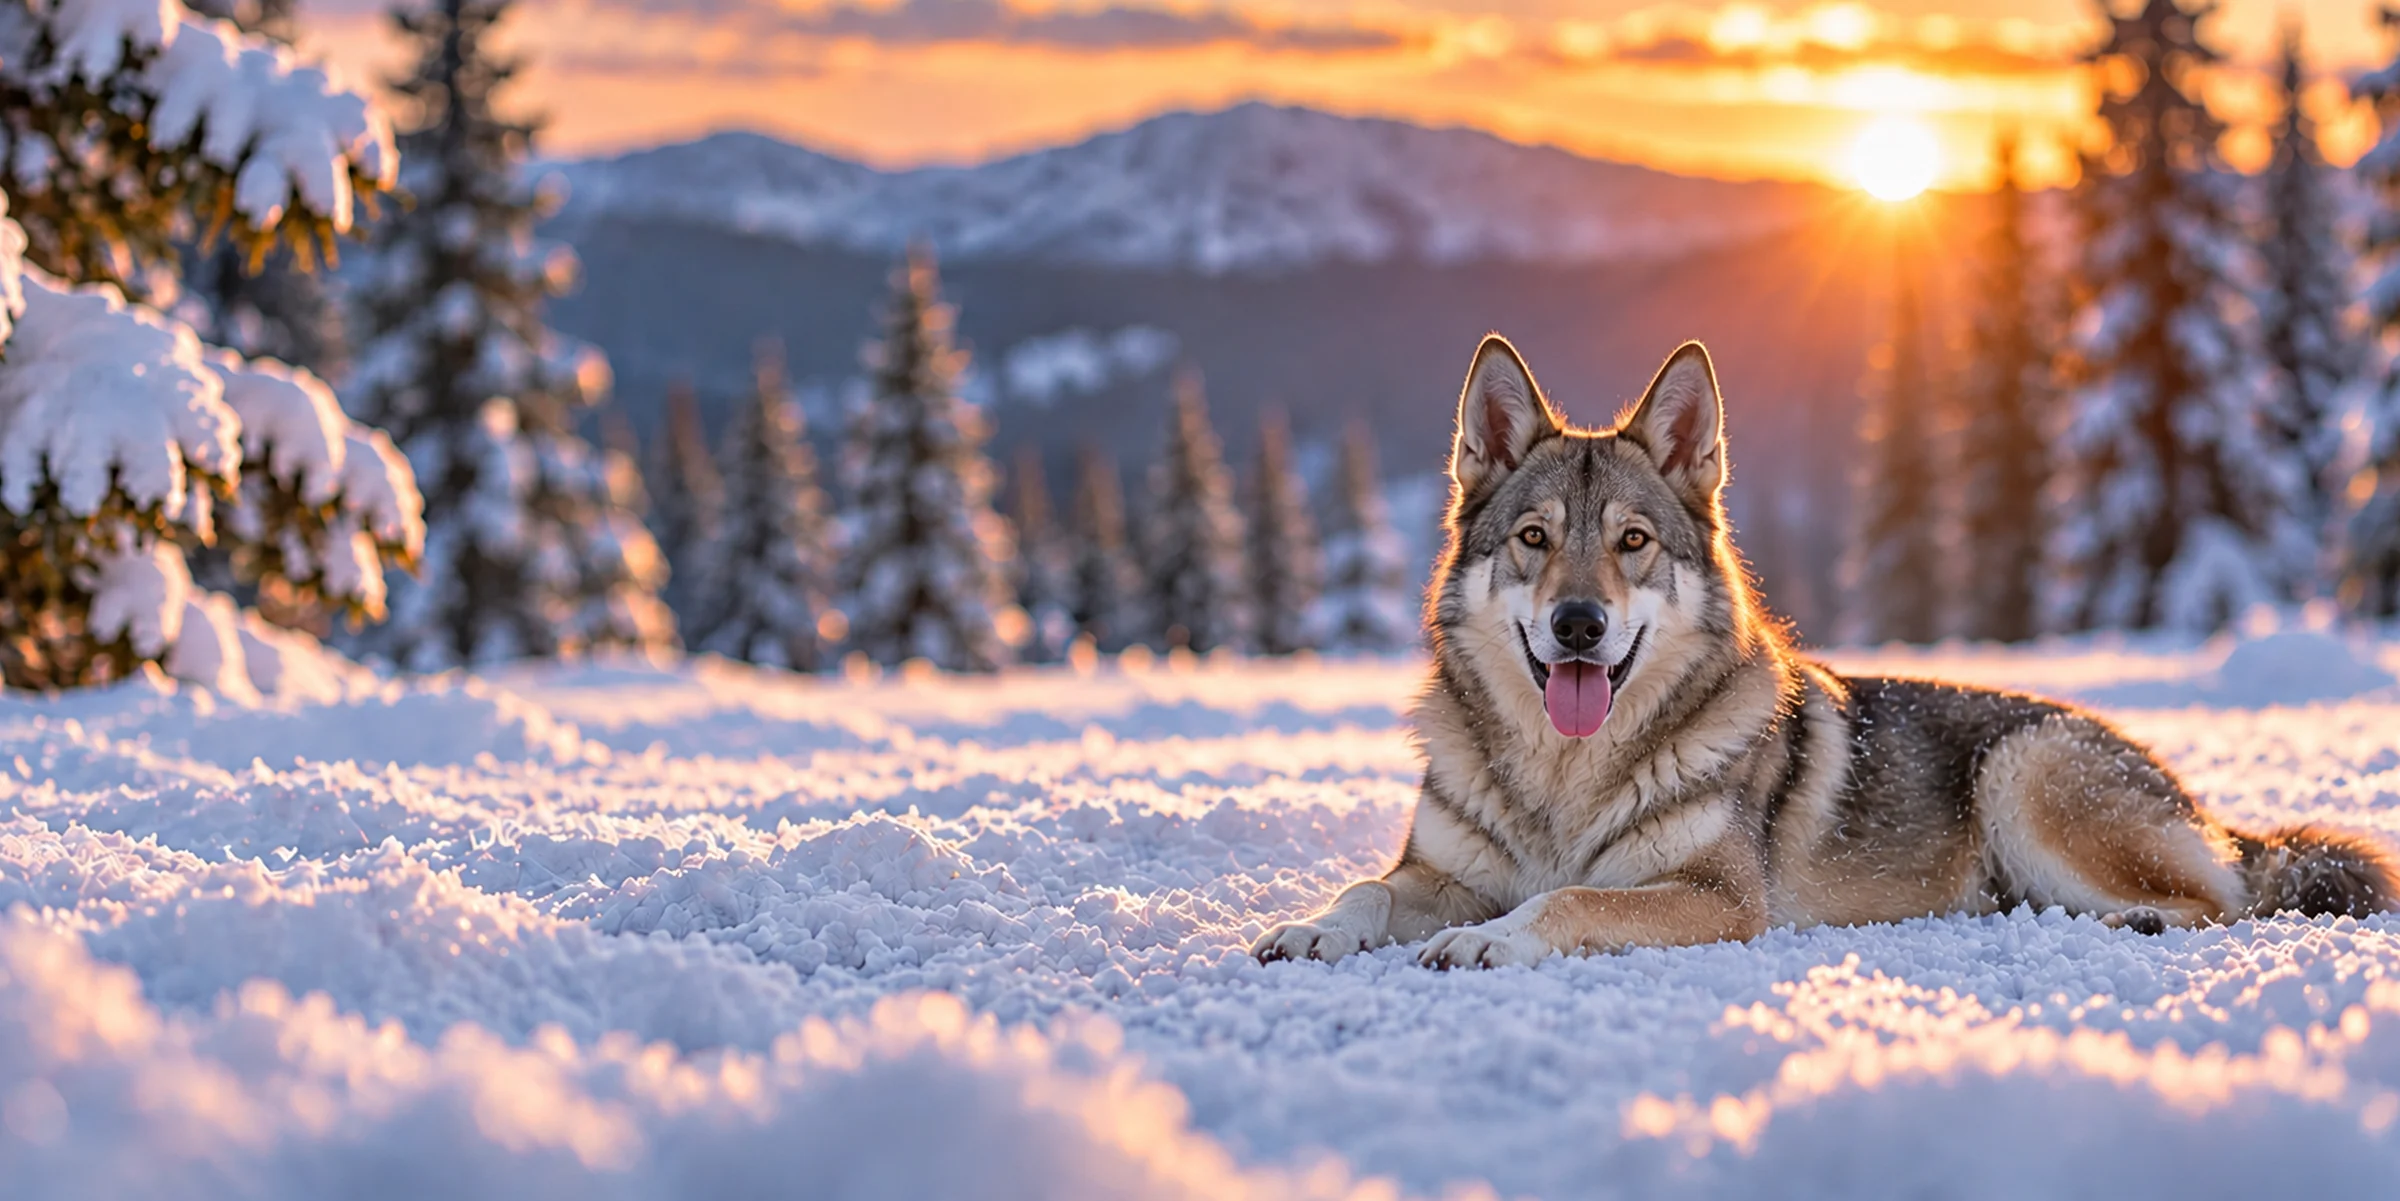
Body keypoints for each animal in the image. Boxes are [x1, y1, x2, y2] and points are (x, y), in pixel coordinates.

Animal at [1254, 336, 2400, 970]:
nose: (1579, 623)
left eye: (1633, 542)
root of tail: (2196, 799)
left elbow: (1567, 897)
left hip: (2025, 773)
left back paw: (2134, 926)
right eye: (1535, 538)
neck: (1562, 780)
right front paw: (1309, 926)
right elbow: (1367, 894)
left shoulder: (1720, 900)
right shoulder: (1434, 870)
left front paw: (1490, 940)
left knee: (2225, 904)